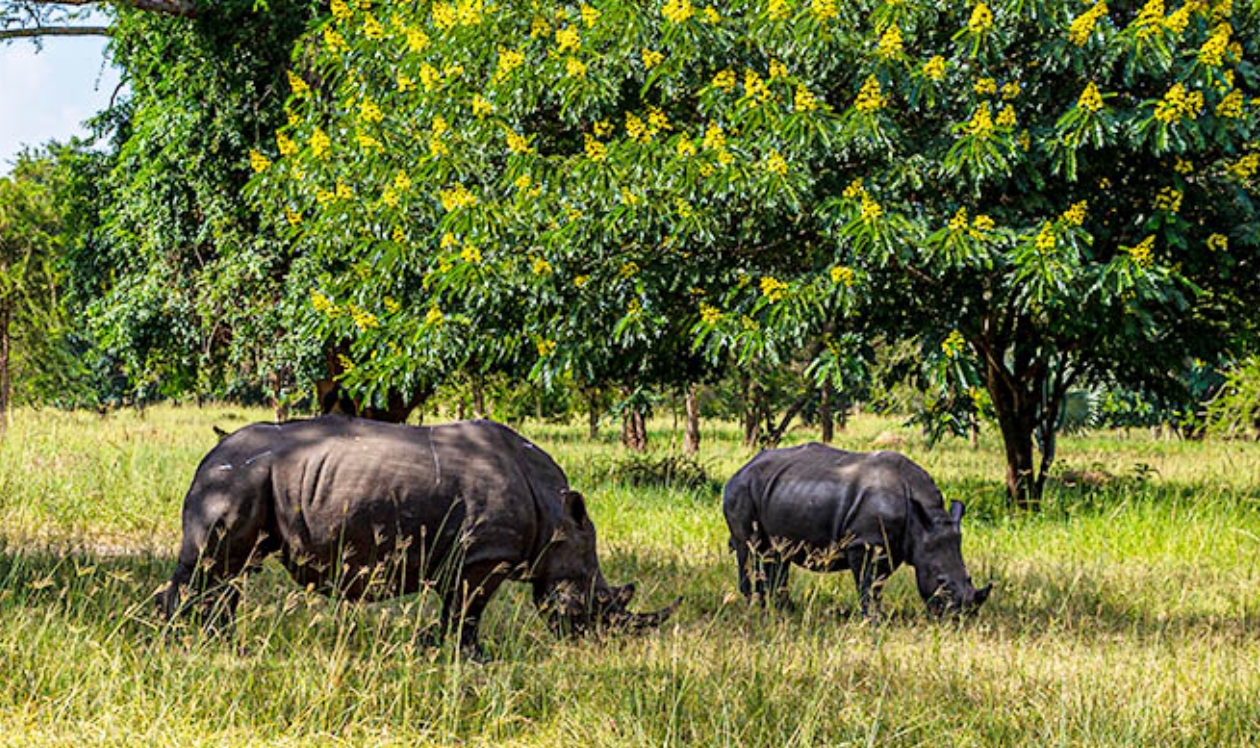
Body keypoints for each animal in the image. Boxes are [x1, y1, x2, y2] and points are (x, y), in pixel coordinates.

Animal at [156, 415, 677, 654]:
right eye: (594, 599)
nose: (595, 644)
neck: (555, 516)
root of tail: (208, 454)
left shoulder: (468, 554)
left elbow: (457, 608)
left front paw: (435, 647)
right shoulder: (486, 553)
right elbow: (469, 608)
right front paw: (473, 656)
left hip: (243, 479)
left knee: (230, 572)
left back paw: (222, 642)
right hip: (234, 479)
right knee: (212, 565)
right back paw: (182, 641)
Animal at [723, 444, 991, 619]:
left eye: (969, 578)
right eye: (941, 582)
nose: (961, 617)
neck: (922, 520)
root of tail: (742, 467)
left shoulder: (891, 546)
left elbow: (875, 584)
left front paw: (877, 616)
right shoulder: (865, 543)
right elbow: (867, 583)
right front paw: (873, 620)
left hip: (778, 489)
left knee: (776, 553)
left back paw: (784, 609)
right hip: (742, 489)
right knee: (748, 548)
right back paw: (755, 608)